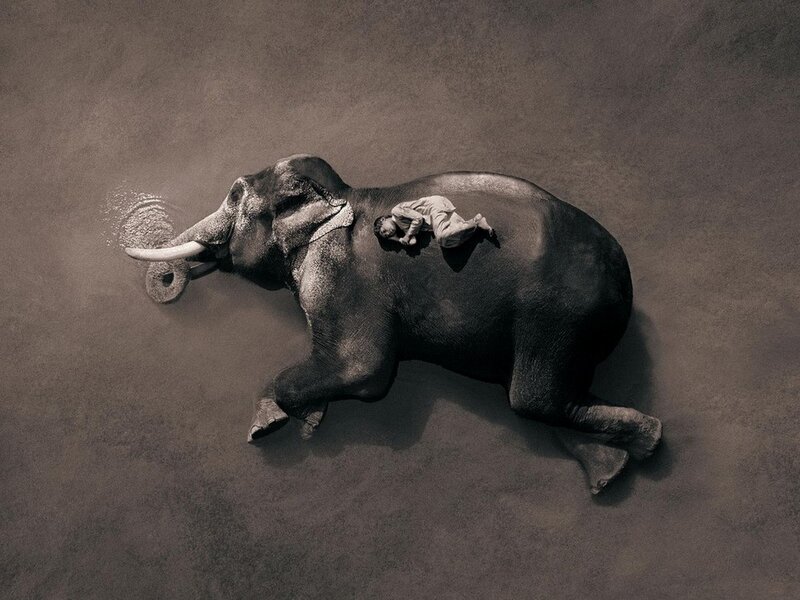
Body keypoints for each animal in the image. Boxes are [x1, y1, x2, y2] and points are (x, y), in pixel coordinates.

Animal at [125, 154, 662, 494]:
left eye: (235, 195)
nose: (170, 281)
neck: (341, 196)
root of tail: (623, 280)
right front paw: (311, 417)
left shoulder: (339, 272)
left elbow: (366, 369)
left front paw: (270, 423)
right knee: (555, 399)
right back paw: (611, 471)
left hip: (555, 314)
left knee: (532, 400)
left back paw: (648, 441)